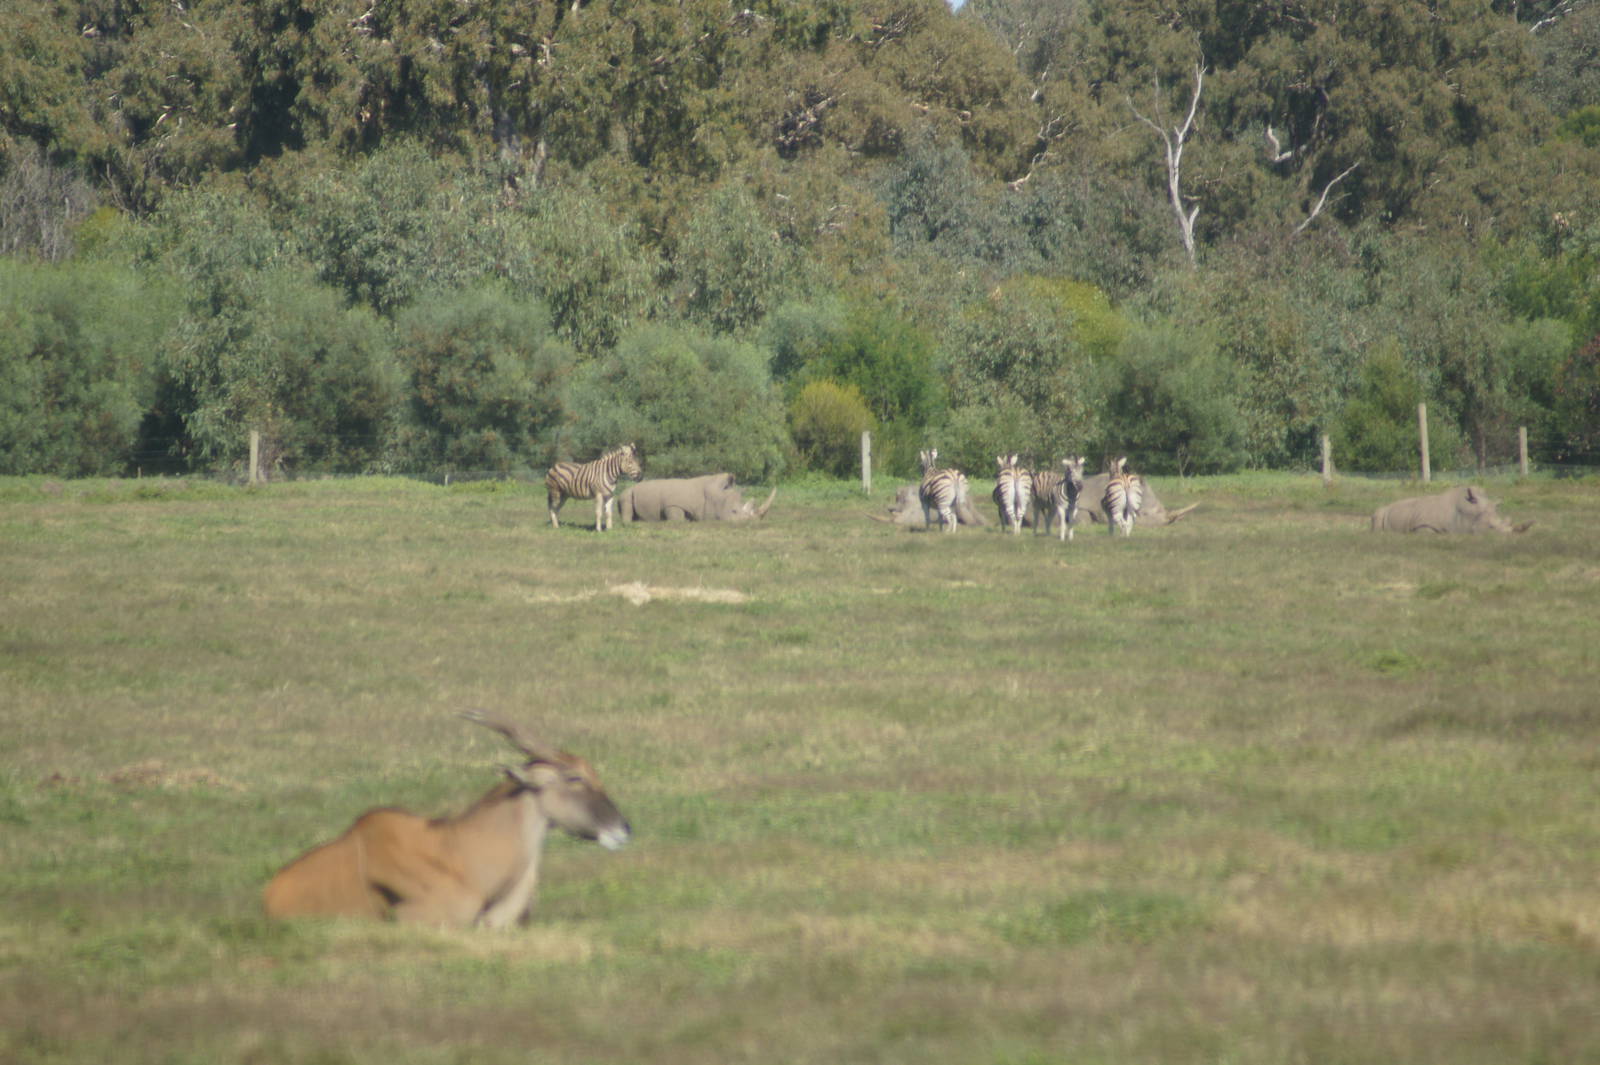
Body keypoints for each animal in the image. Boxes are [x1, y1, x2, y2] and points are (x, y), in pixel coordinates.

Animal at [617, 474, 775, 523]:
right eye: (734, 512)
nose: (751, 523)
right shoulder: (673, 504)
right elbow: (676, 517)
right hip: (627, 491)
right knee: (625, 497)